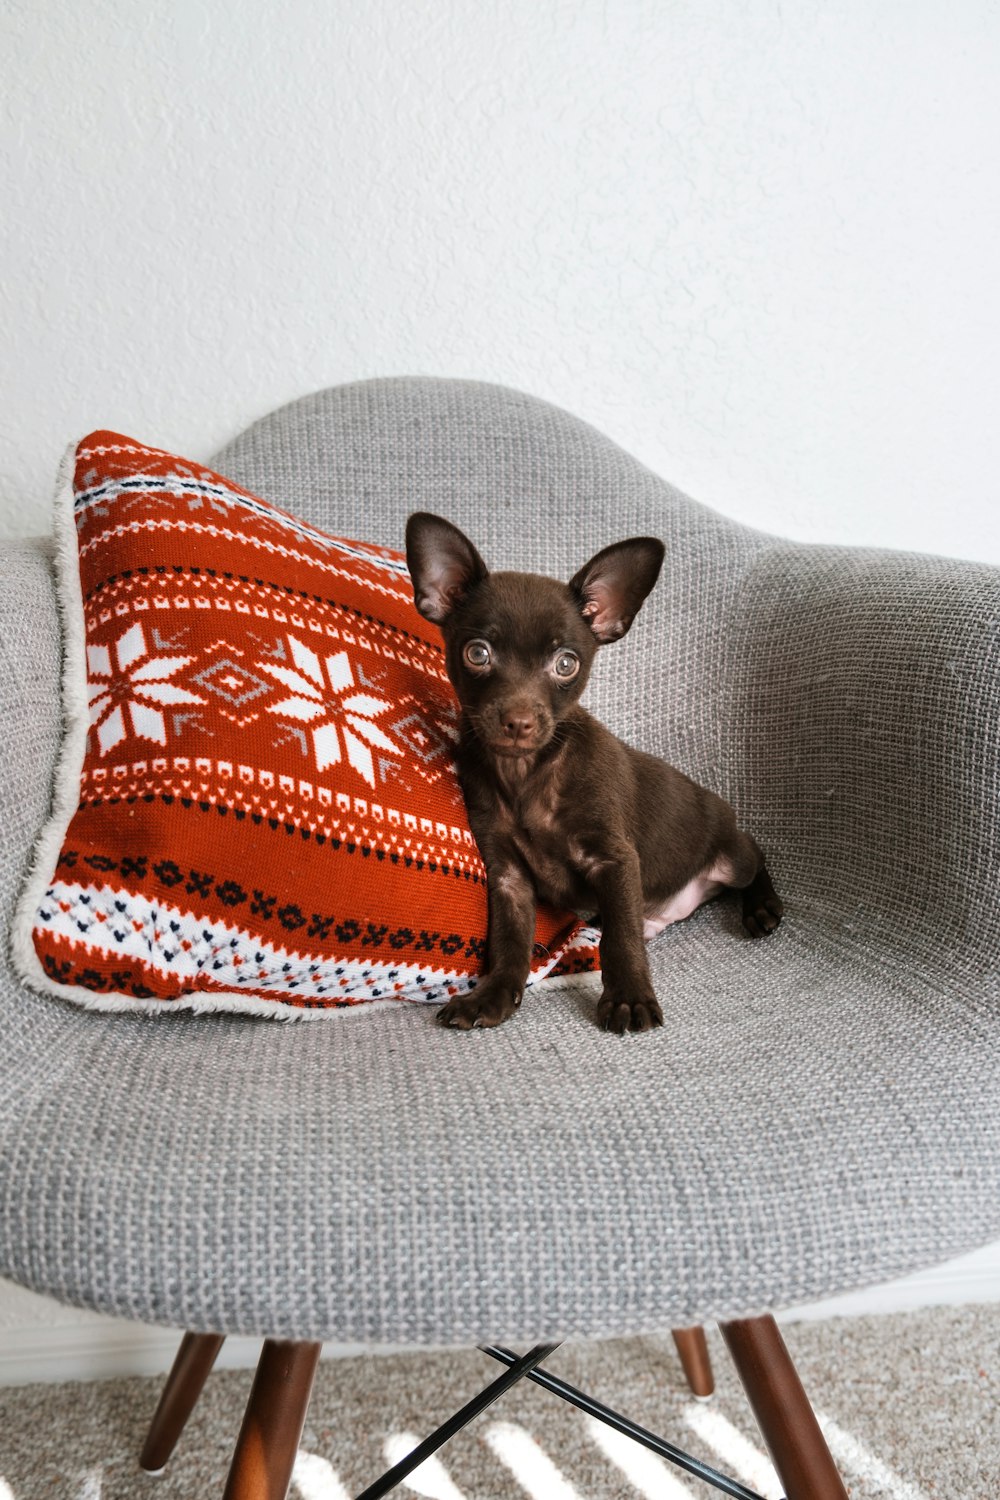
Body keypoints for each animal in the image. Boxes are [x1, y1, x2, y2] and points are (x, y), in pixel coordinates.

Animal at [404, 516, 779, 1032]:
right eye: (477, 653)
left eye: (566, 663)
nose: (518, 721)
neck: (528, 774)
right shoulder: (508, 878)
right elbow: (510, 944)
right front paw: (493, 995)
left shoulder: (614, 861)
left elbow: (619, 940)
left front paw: (629, 997)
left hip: (732, 854)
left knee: (754, 856)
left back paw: (763, 906)